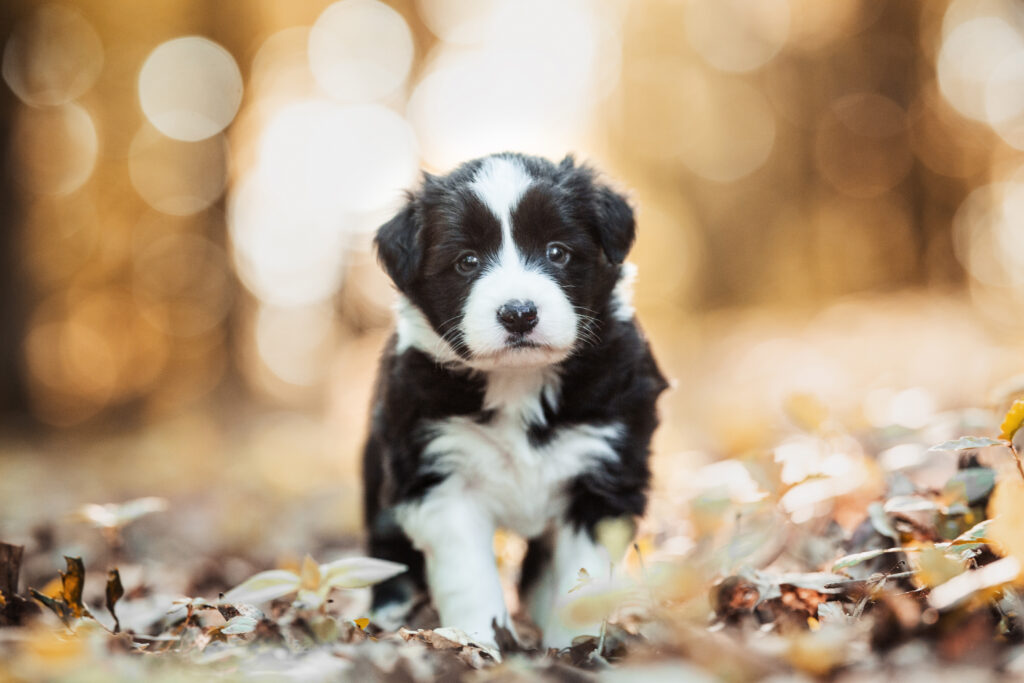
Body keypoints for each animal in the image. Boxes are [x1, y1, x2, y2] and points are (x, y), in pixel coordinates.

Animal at [364, 152, 667, 651]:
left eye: (557, 252)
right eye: (466, 262)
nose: (519, 313)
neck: (518, 381)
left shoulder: (604, 471)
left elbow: (581, 575)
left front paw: (572, 646)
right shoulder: (437, 474)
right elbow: (468, 574)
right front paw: (478, 641)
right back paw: (389, 611)